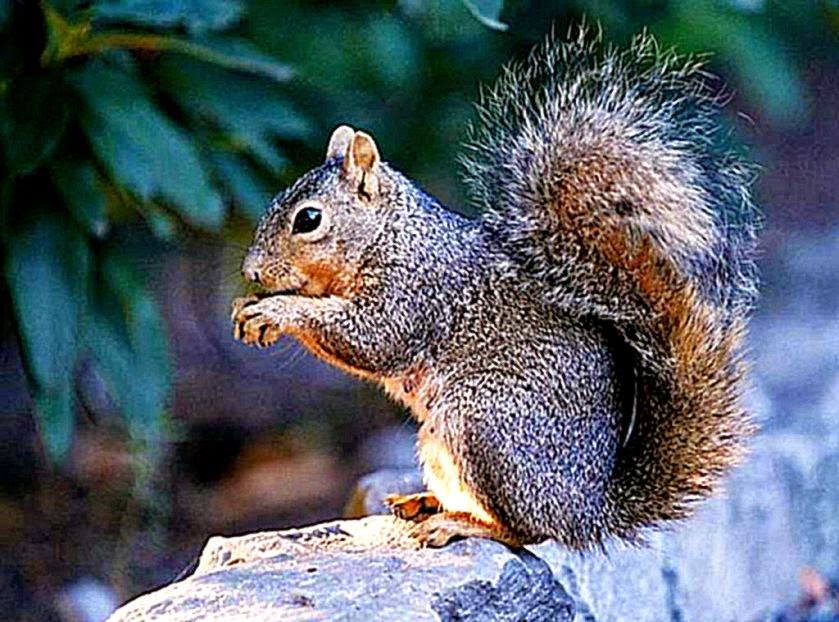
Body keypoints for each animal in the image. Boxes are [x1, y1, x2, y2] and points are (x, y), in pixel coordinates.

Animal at [231, 27, 760, 550]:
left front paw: (275, 311)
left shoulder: (415, 291)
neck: (391, 234)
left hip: (484, 424)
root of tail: (588, 510)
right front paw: (248, 304)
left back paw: (460, 523)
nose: (252, 271)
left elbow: (374, 339)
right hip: (442, 441)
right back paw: (428, 502)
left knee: (528, 531)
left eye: (309, 219)